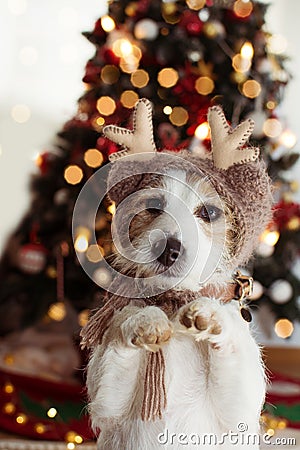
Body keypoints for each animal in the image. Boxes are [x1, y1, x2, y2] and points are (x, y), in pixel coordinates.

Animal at [81, 100, 274, 448]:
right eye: (153, 205)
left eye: (208, 212)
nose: (167, 248)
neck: (174, 303)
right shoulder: (107, 403)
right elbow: (122, 328)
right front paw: (143, 321)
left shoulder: (239, 410)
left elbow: (231, 341)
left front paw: (211, 315)